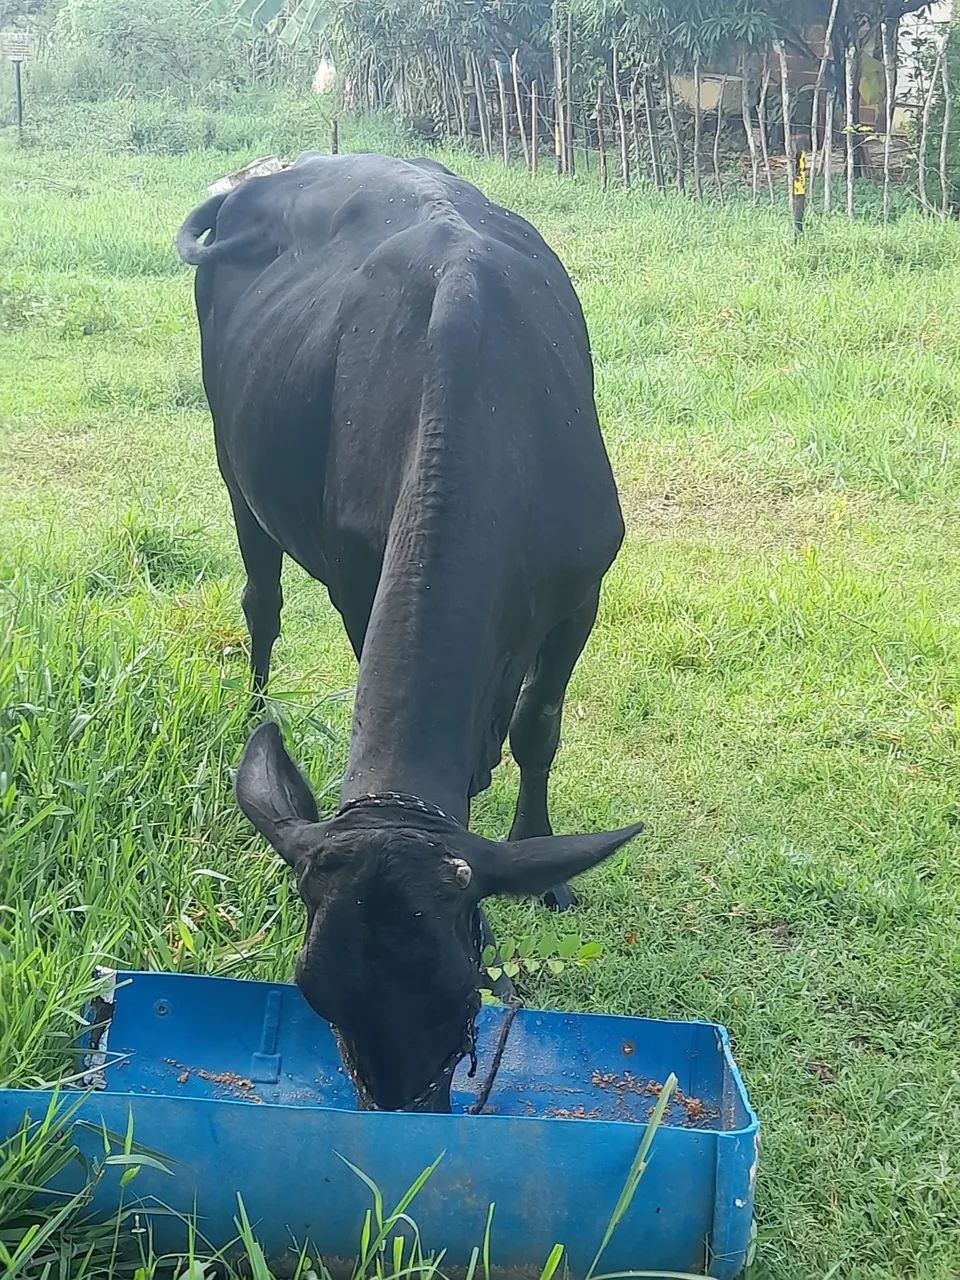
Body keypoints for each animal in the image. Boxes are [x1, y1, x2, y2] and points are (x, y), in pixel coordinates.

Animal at [176, 152, 642, 1113]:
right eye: (315, 994)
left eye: (464, 985)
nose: (402, 1112)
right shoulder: (359, 579)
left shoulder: (584, 588)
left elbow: (538, 727)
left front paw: (542, 861)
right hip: (236, 474)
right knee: (261, 601)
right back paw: (253, 708)